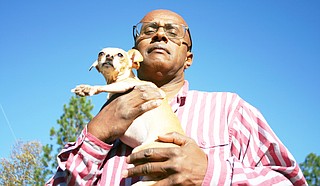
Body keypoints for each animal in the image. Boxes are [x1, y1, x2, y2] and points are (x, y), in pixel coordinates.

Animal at [71, 47, 184, 185]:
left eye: (120, 54)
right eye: (101, 53)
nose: (108, 56)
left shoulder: (126, 84)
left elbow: (106, 87)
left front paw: (87, 89)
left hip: (142, 151)